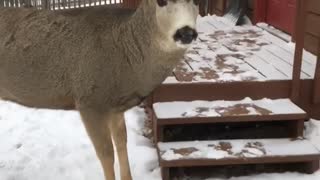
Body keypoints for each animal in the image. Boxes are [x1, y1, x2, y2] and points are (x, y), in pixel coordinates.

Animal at [0, 0, 199, 179]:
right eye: (161, 1)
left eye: (197, 1)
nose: (186, 32)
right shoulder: (90, 101)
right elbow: (106, 153)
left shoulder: (115, 106)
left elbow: (121, 142)